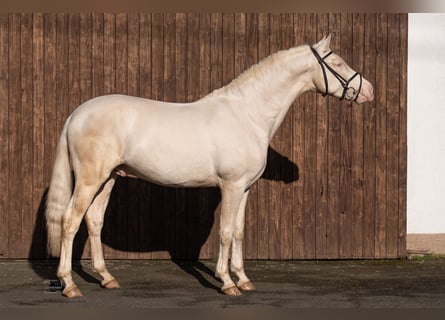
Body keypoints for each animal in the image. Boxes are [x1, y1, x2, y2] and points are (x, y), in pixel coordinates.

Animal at [45, 34, 372, 298]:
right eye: (339, 63)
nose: (368, 90)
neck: (248, 115)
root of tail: (76, 115)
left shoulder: (245, 189)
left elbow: (239, 231)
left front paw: (244, 279)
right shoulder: (231, 185)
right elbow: (225, 231)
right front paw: (227, 282)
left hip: (109, 178)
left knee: (94, 221)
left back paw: (106, 278)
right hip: (89, 180)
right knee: (70, 221)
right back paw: (69, 285)